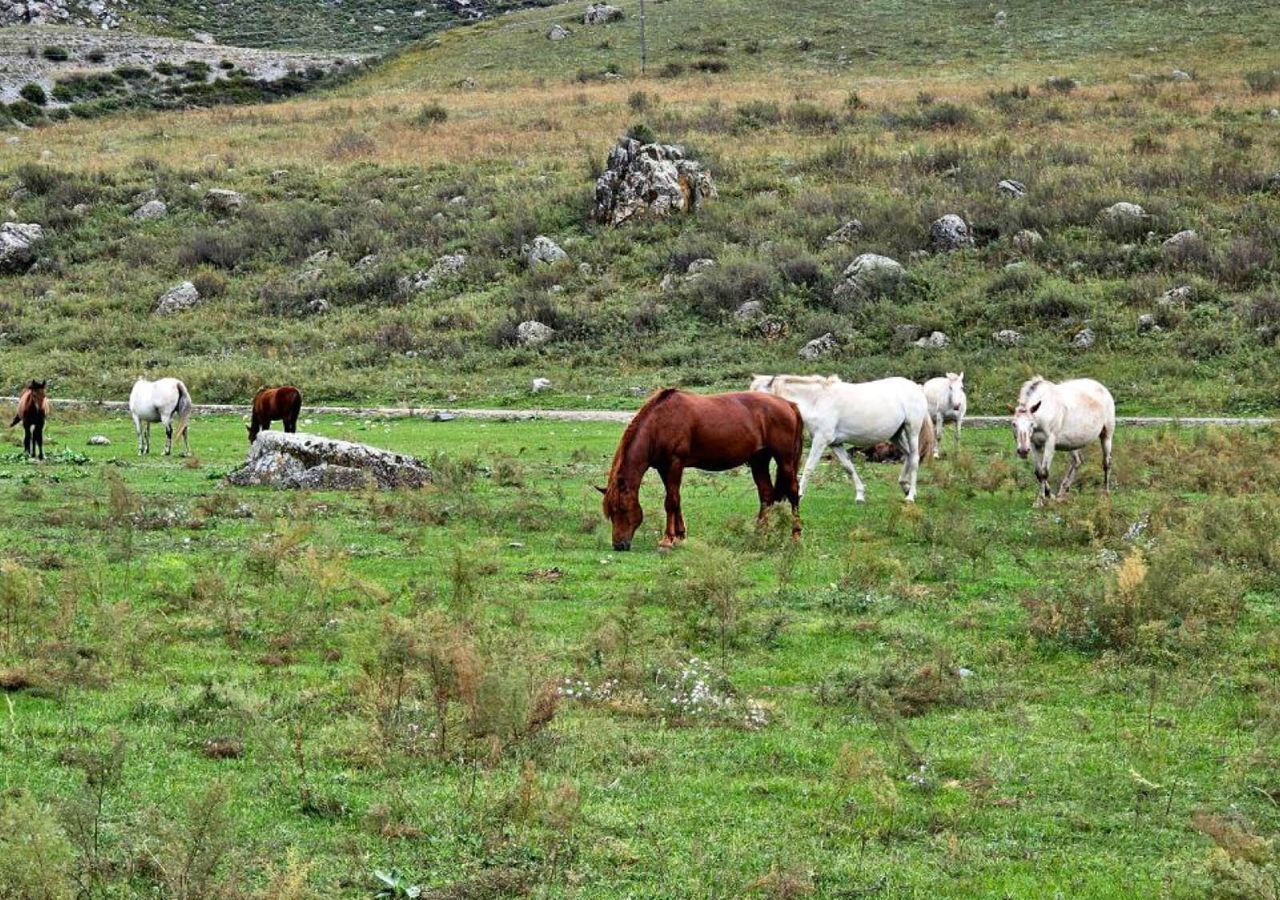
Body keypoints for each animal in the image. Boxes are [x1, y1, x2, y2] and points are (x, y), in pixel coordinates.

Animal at [596, 389, 798, 553]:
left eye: (622, 508)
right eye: (610, 512)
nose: (619, 545)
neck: (660, 422)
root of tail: (789, 404)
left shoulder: (675, 463)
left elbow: (670, 501)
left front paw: (667, 541)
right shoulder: (663, 468)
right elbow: (676, 499)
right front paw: (679, 536)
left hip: (785, 460)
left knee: (793, 492)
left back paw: (795, 536)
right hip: (759, 461)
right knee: (766, 495)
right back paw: (759, 534)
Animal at [747, 371, 931, 504]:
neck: (817, 401)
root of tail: (917, 388)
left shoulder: (821, 440)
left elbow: (809, 467)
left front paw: (798, 495)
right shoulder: (836, 444)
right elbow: (848, 467)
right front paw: (860, 496)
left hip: (912, 430)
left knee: (914, 458)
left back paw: (910, 496)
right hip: (896, 435)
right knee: (908, 455)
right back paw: (905, 486)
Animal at [1013, 373, 1116, 506]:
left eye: (1031, 423)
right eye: (1014, 424)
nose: (1023, 451)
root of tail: (1103, 388)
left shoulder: (1049, 443)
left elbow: (1044, 472)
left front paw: (1041, 501)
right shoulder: (1034, 444)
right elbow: (1038, 472)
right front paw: (1048, 496)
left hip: (1107, 435)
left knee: (1107, 463)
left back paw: (1105, 493)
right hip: (1072, 444)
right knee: (1077, 461)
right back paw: (1062, 492)